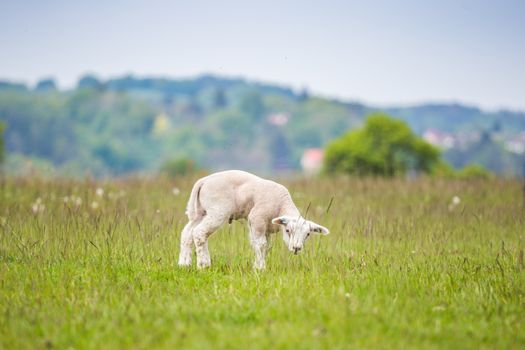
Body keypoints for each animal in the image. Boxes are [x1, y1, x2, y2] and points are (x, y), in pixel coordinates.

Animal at [178, 169, 330, 268]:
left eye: (308, 234)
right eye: (288, 230)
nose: (297, 248)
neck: (281, 206)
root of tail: (203, 182)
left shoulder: (264, 227)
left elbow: (265, 246)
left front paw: (258, 265)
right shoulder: (257, 218)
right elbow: (261, 244)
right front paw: (260, 268)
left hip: (200, 212)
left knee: (187, 233)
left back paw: (184, 264)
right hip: (217, 211)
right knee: (199, 233)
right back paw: (204, 264)